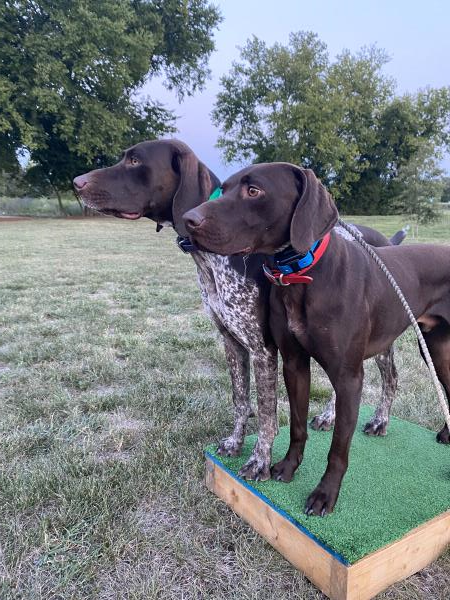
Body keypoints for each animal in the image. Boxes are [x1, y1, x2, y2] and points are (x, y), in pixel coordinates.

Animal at [183, 163, 450, 516]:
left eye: (253, 190)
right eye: (223, 189)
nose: (188, 219)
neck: (301, 273)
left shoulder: (349, 376)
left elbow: (338, 449)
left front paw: (325, 494)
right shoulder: (294, 364)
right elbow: (296, 426)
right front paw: (286, 467)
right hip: (434, 346)